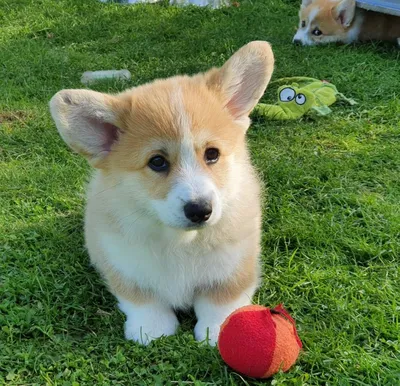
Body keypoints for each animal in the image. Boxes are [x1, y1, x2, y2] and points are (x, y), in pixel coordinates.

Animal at [48, 40, 276, 346]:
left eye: (212, 154)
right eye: (157, 162)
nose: (200, 210)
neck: (180, 241)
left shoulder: (236, 264)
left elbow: (223, 299)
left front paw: (220, 329)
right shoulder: (123, 262)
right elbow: (141, 298)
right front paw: (152, 329)